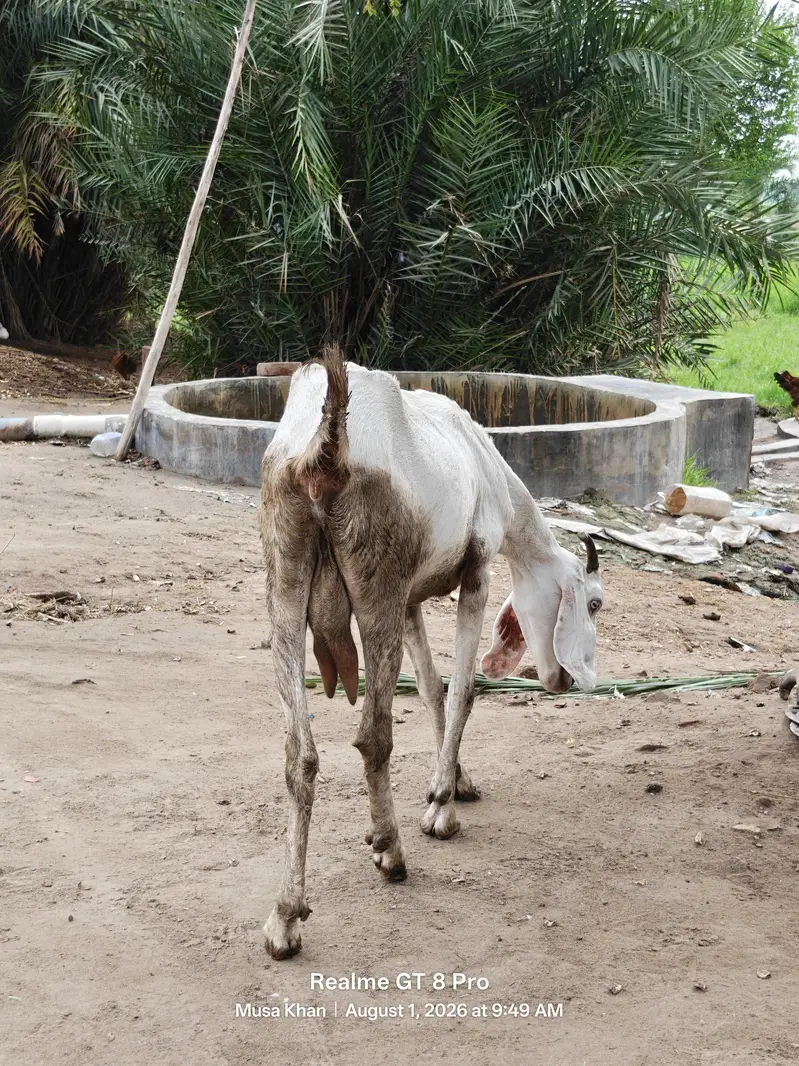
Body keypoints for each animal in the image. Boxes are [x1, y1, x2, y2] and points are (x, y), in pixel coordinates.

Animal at [260, 348, 604, 959]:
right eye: (593, 603)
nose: (571, 680)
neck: (484, 463)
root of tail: (328, 443)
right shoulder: (476, 570)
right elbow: (463, 688)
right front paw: (441, 805)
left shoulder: (413, 601)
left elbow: (430, 689)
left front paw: (458, 781)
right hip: (377, 589)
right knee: (372, 736)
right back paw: (390, 851)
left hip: (286, 584)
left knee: (300, 753)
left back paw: (285, 916)